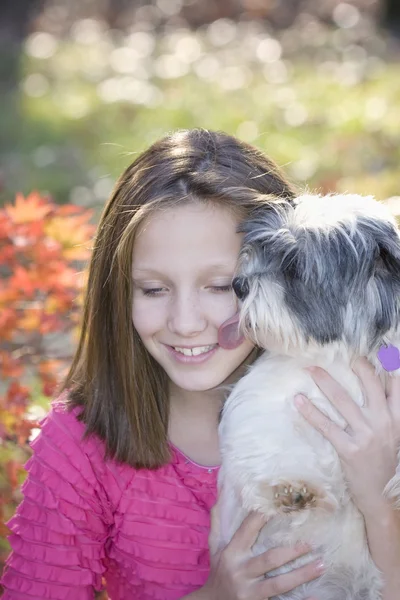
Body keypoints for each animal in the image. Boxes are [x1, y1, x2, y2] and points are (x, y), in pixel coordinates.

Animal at [214, 195, 400, 596]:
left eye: (293, 268)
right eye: (262, 252)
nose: (238, 284)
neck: (347, 353)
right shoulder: (267, 401)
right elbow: (269, 438)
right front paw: (289, 489)